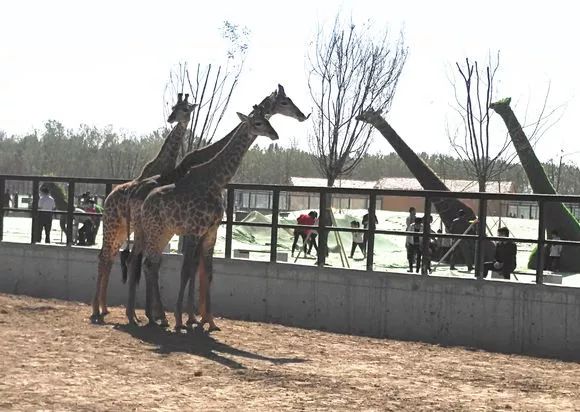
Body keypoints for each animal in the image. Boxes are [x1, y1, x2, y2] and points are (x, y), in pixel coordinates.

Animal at [89, 93, 196, 322]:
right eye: (173, 107)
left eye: (185, 109)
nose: (171, 119)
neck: (163, 165)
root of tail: (107, 199)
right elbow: (146, 261)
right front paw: (152, 313)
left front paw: (151, 313)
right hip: (112, 226)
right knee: (104, 257)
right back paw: (96, 310)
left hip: (121, 230)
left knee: (108, 257)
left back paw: (104, 308)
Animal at [123, 84, 308, 326]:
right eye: (285, 101)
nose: (302, 115)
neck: (214, 178)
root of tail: (134, 192)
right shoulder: (194, 231)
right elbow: (189, 269)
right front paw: (187, 317)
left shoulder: (210, 231)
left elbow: (205, 271)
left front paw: (203, 319)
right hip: (148, 229)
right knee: (140, 260)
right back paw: (142, 314)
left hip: (158, 230)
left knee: (146, 261)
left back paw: (146, 314)